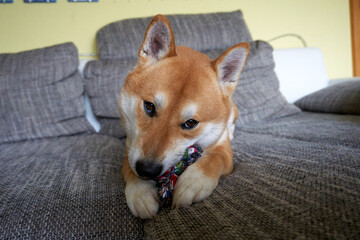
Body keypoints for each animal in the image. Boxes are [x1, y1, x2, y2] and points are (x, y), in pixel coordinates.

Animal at [119, 14, 249, 218]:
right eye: (149, 106)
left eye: (190, 123)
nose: (147, 170)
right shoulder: (129, 144)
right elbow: (128, 167)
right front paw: (139, 190)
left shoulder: (223, 149)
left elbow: (213, 159)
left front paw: (193, 181)